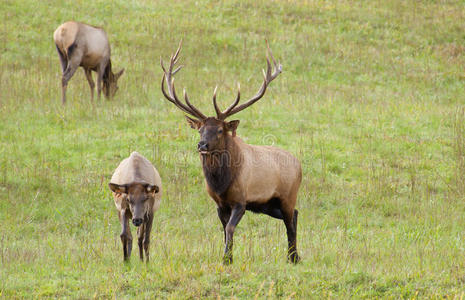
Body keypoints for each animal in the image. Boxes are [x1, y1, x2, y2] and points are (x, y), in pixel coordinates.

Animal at [161, 41, 302, 262]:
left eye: (220, 130)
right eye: (200, 129)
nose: (202, 145)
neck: (221, 183)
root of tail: (299, 165)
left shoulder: (240, 201)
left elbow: (229, 228)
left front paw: (226, 260)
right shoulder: (220, 204)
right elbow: (223, 230)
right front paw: (228, 257)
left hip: (288, 196)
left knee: (291, 221)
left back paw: (293, 258)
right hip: (268, 205)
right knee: (295, 215)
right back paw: (295, 256)